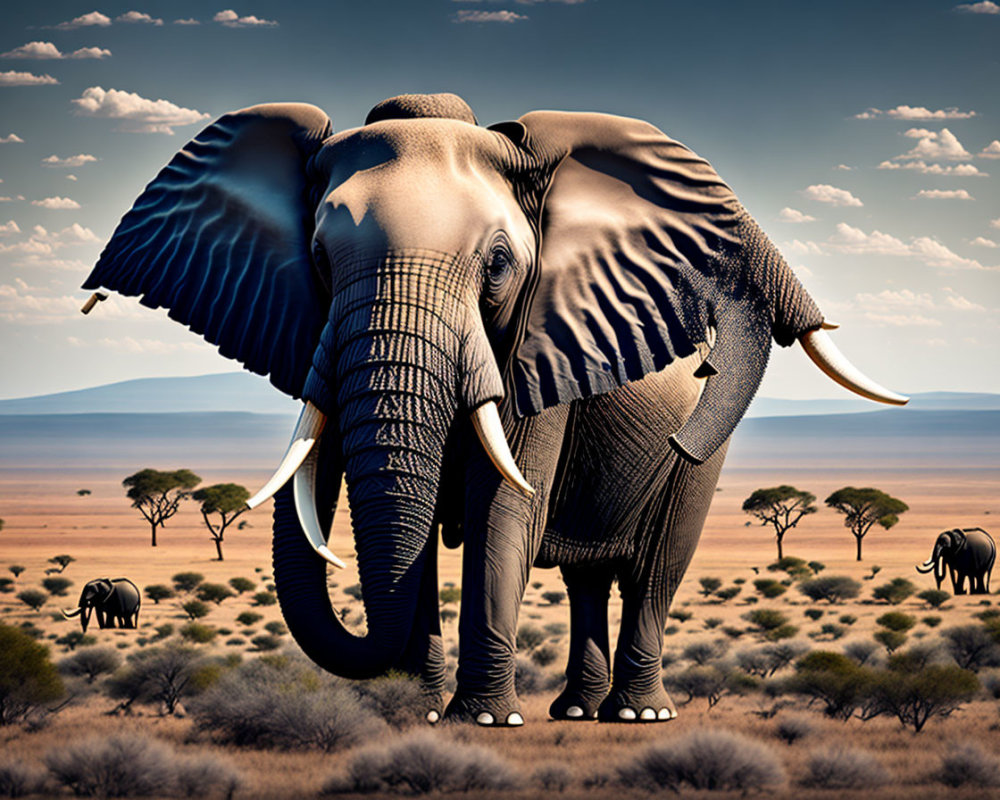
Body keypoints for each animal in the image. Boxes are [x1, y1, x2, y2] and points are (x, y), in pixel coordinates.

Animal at [81, 93, 906, 725]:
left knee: (655, 566)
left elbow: (501, 508)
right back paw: (575, 711)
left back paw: (637, 714)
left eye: (500, 264)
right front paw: (418, 713)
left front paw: (482, 721)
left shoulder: (540, 341)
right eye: (317, 259)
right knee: (586, 579)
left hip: (699, 463)